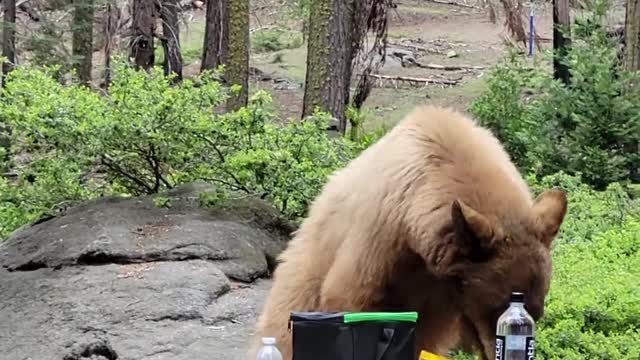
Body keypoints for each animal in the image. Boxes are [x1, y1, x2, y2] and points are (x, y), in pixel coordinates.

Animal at [248, 105, 568, 358]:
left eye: (538, 311)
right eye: (496, 307)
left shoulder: (444, 296)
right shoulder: (380, 234)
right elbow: (351, 299)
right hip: (304, 275)